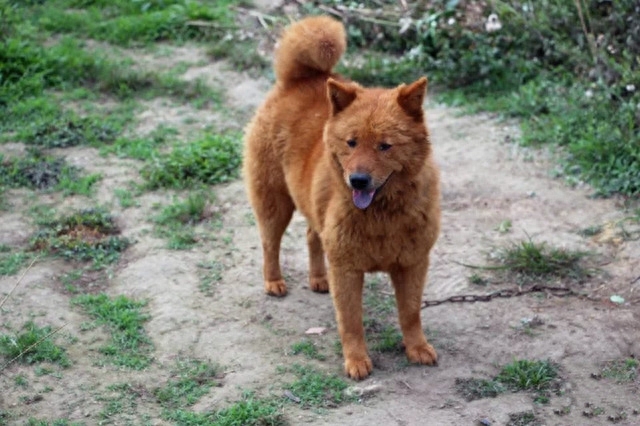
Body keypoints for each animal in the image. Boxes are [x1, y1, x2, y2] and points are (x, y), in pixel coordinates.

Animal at [244, 15, 440, 380]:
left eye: (385, 145)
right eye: (351, 142)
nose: (358, 179)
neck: (381, 215)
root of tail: (299, 79)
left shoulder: (413, 262)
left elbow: (410, 313)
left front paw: (417, 348)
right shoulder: (347, 268)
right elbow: (351, 321)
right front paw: (357, 361)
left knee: (312, 235)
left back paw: (318, 279)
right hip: (275, 203)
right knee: (269, 243)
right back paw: (274, 281)